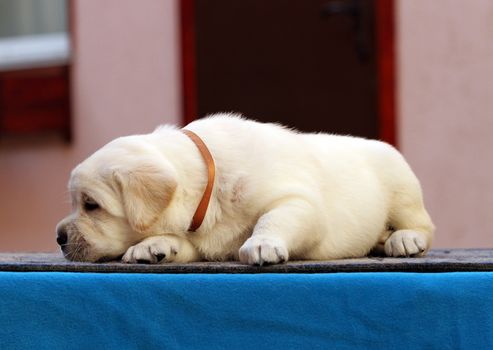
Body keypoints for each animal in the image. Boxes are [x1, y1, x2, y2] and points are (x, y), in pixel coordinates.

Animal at [55, 113, 434, 264]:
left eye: (91, 205)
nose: (58, 236)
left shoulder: (297, 201)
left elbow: (274, 218)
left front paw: (262, 244)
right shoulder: (196, 239)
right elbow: (181, 244)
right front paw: (154, 246)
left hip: (402, 187)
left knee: (424, 225)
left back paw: (403, 239)